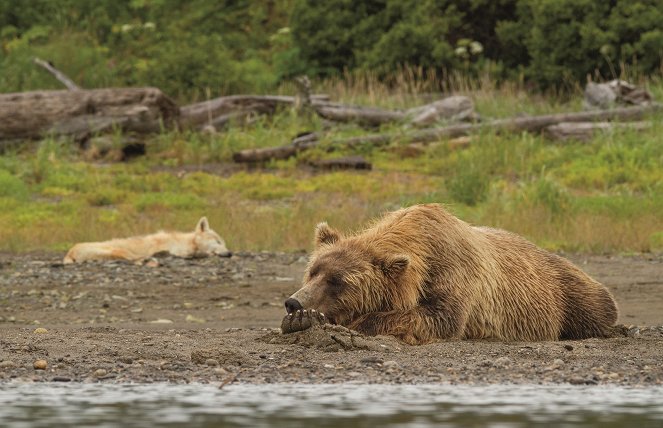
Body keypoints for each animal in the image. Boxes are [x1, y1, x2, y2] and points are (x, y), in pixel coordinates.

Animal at [286, 203, 624, 344]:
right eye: (313, 272)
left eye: (337, 281)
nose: (294, 302)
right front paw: (300, 320)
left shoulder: (454, 271)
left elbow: (439, 318)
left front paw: (353, 323)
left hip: (566, 291)